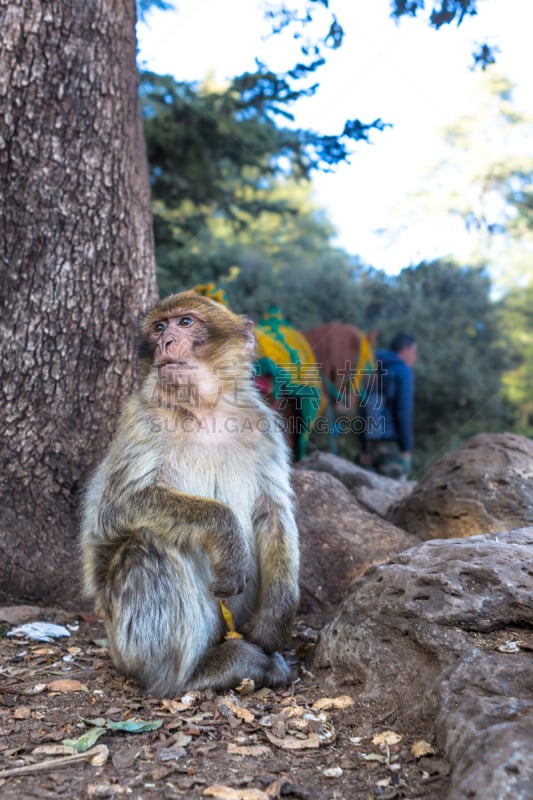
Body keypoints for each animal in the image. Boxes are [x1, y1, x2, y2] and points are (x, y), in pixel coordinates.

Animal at [82, 290, 300, 696]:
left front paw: (276, 620)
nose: (166, 341)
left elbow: (274, 510)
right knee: (148, 543)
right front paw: (225, 531)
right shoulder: (140, 420)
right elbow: (116, 509)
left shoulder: (264, 427)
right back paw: (194, 674)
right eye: (159, 327)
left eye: (185, 322)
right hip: (126, 643)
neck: (205, 411)